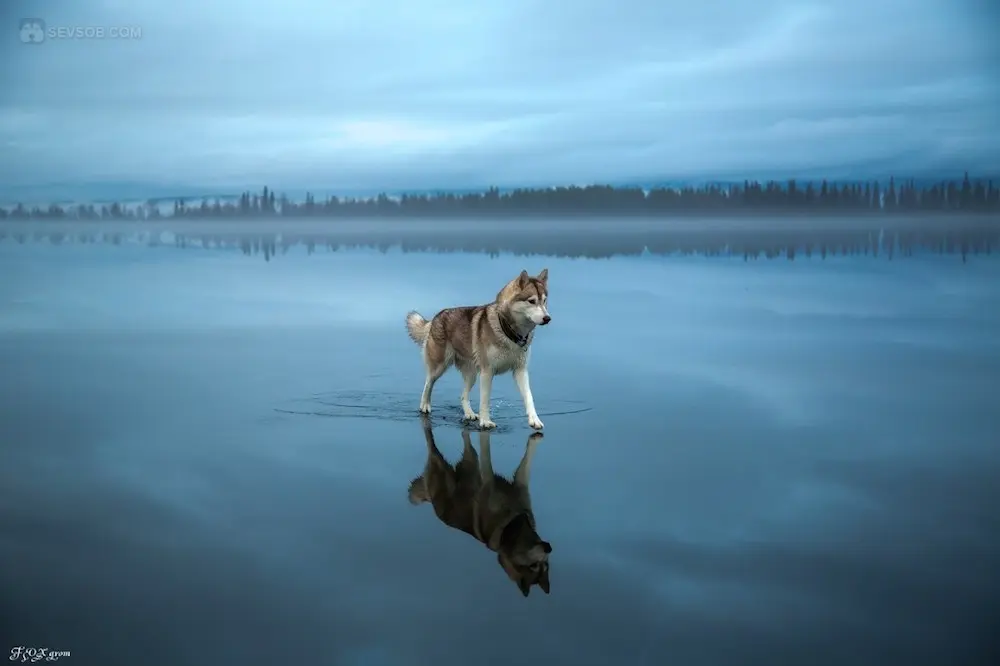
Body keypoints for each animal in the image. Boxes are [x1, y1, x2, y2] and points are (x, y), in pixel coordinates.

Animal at [402, 268, 552, 428]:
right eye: (532, 301)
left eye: (544, 300)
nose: (547, 318)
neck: (508, 331)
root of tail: (436, 317)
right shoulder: (487, 372)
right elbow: (485, 400)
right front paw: (485, 421)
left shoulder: (520, 370)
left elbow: (529, 397)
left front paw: (534, 420)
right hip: (439, 367)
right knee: (428, 383)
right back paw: (425, 406)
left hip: (472, 374)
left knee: (463, 396)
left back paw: (469, 414)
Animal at [408, 416, 556, 596]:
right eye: (533, 566)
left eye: (546, 566)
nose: (549, 548)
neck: (513, 526)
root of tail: (431, 500)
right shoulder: (488, 481)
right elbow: (487, 459)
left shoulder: (521, 487)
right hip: (439, 463)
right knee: (431, 443)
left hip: (468, 461)